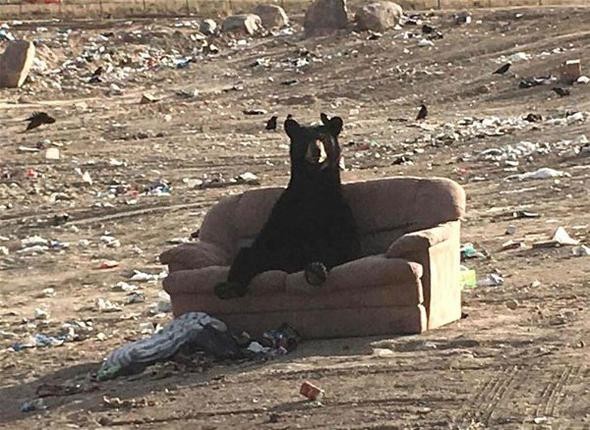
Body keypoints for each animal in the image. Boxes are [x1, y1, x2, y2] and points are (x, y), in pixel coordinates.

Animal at [213, 114, 360, 298]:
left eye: (324, 139)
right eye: (304, 139)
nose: (316, 151)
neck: (313, 184)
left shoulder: (338, 209)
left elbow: (343, 244)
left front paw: (317, 267)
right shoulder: (284, 212)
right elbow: (266, 244)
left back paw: (315, 270)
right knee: (247, 254)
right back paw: (229, 288)